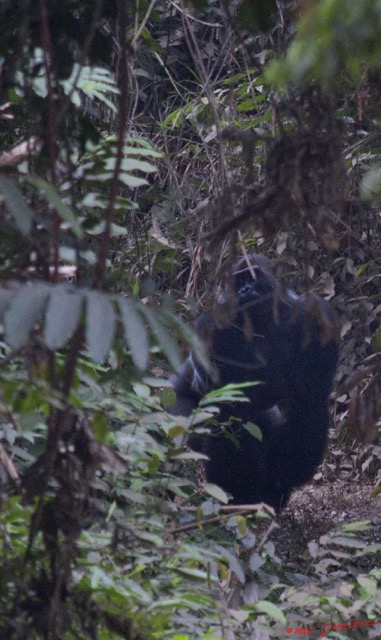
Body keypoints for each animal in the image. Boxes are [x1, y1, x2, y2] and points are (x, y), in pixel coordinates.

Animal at [171, 255, 336, 510]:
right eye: (239, 282)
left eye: (252, 276)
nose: (245, 290)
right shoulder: (213, 326)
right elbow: (227, 402)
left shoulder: (314, 314)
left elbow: (311, 394)